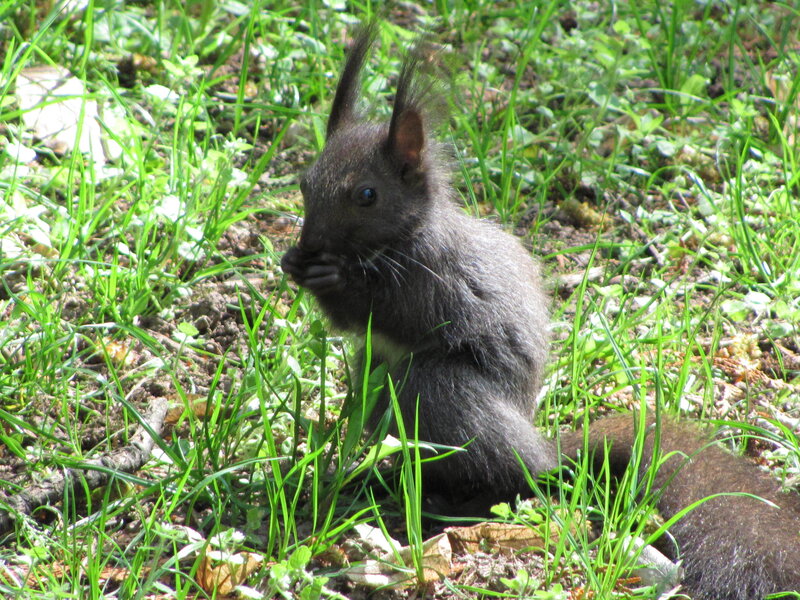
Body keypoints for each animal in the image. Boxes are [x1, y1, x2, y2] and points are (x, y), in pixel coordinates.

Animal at [280, 24, 800, 600]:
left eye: (368, 195)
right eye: (304, 182)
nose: (310, 244)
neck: (402, 239)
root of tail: (543, 451)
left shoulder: (435, 280)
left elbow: (392, 314)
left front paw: (331, 280)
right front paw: (293, 263)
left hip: (437, 390)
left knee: (508, 479)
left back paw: (450, 503)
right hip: (375, 380)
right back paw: (381, 478)